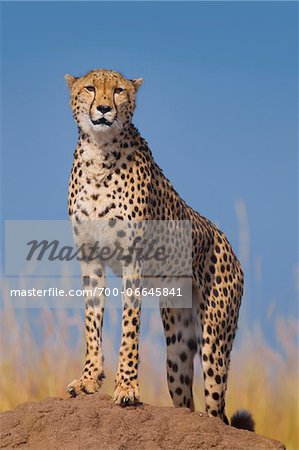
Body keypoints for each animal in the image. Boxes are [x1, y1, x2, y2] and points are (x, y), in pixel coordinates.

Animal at [65, 68, 255, 430]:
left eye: (119, 90)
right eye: (90, 88)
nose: (104, 109)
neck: (99, 154)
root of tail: (228, 244)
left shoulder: (133, 259)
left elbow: (129, 325)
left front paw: (126, 387)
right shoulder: (90, 258)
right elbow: (92, 321)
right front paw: (89, 379)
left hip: (215, 341)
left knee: (215, 407)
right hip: (178, 348)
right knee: (186, 398)